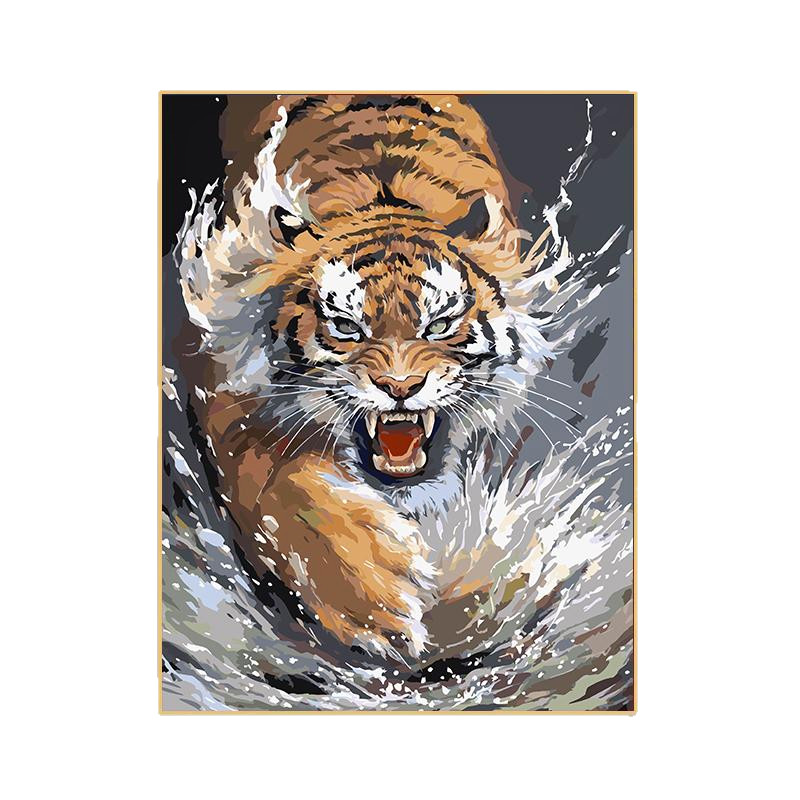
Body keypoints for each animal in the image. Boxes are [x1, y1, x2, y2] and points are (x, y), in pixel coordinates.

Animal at [176, 94, 553, 660]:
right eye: (348, 328)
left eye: (439, 324)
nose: (399, 387)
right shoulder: (217, 371)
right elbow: (266, 479)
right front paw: (371, 598)